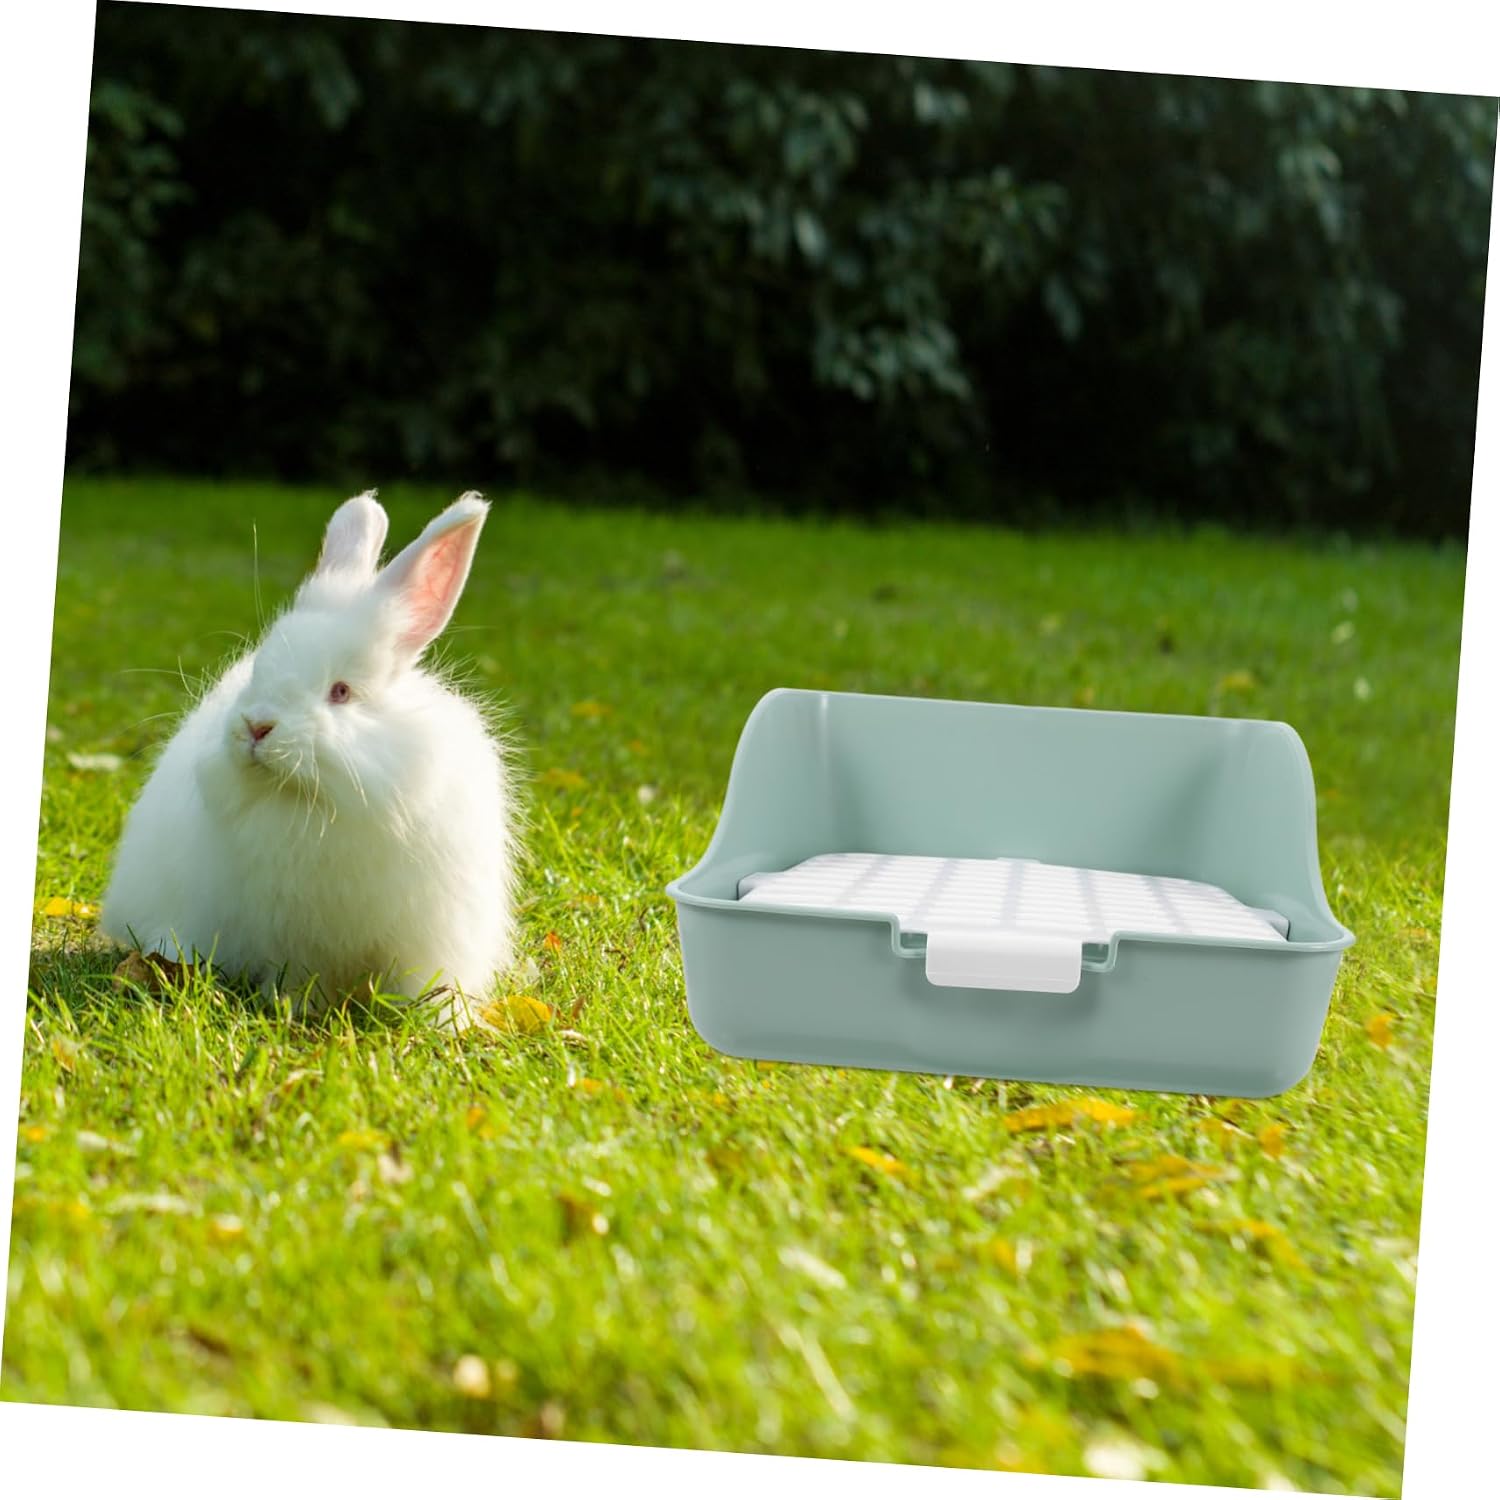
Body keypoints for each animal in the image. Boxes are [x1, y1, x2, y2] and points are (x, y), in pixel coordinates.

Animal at [99, 490, 517, 1030]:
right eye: (259, 670)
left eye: (340, 692)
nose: (256, 727)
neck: (320, 803)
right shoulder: (292, 938)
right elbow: (300, 979)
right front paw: (293, 1010)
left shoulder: (431, 935)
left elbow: (428, 986)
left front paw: (443, 1023)